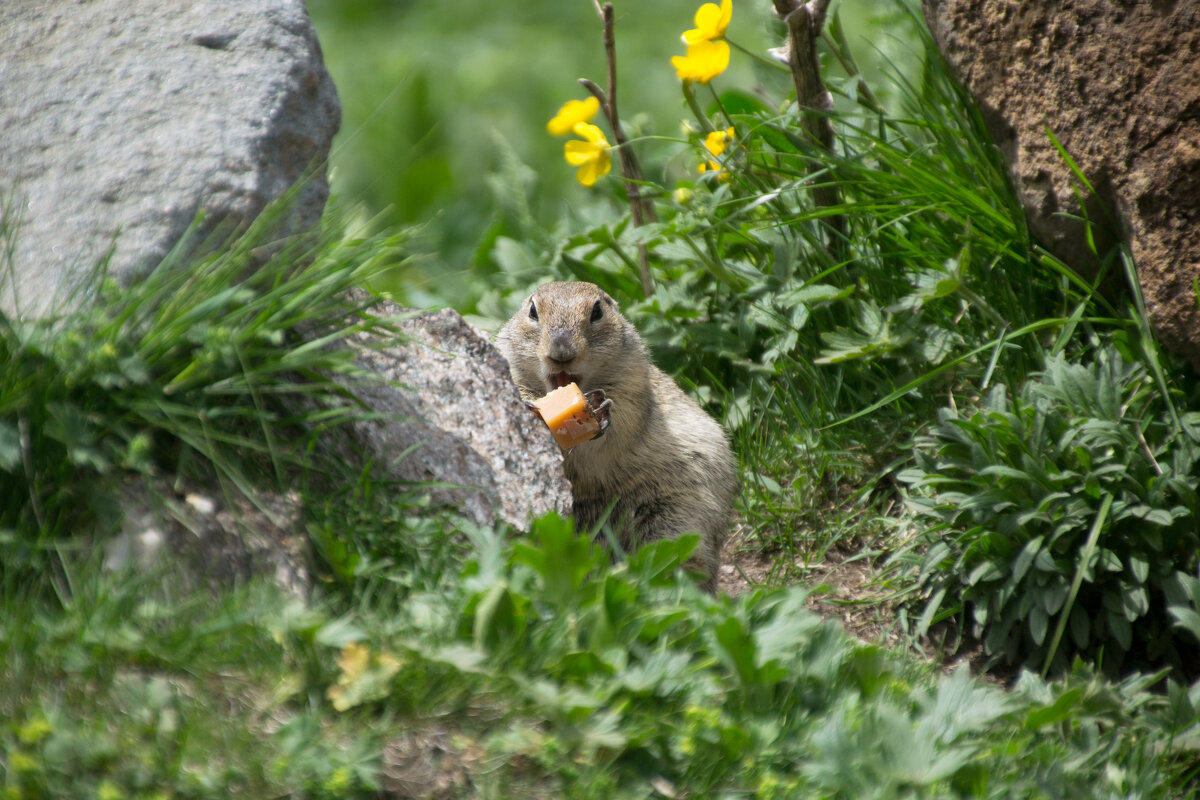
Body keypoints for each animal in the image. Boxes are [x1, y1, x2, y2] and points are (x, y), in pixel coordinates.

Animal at [492, 280, 734, 587]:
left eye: (597, 311)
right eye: (533, 311)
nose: (561, 353)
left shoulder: (633, 383)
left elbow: (622, 419)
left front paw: (601, 411)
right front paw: (530, 409)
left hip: (679, 514)